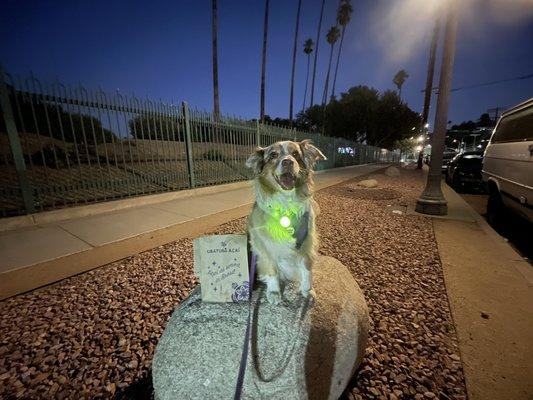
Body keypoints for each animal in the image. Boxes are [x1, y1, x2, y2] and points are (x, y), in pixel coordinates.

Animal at [244, 139, 324, 304]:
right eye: (273, 155)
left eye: (295, 154)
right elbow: (272, 271)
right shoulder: (265, 247)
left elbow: (306, 269)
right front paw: (274, 292)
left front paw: (307, 290)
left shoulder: (307, 244)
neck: (286, 204)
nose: (288, 162)